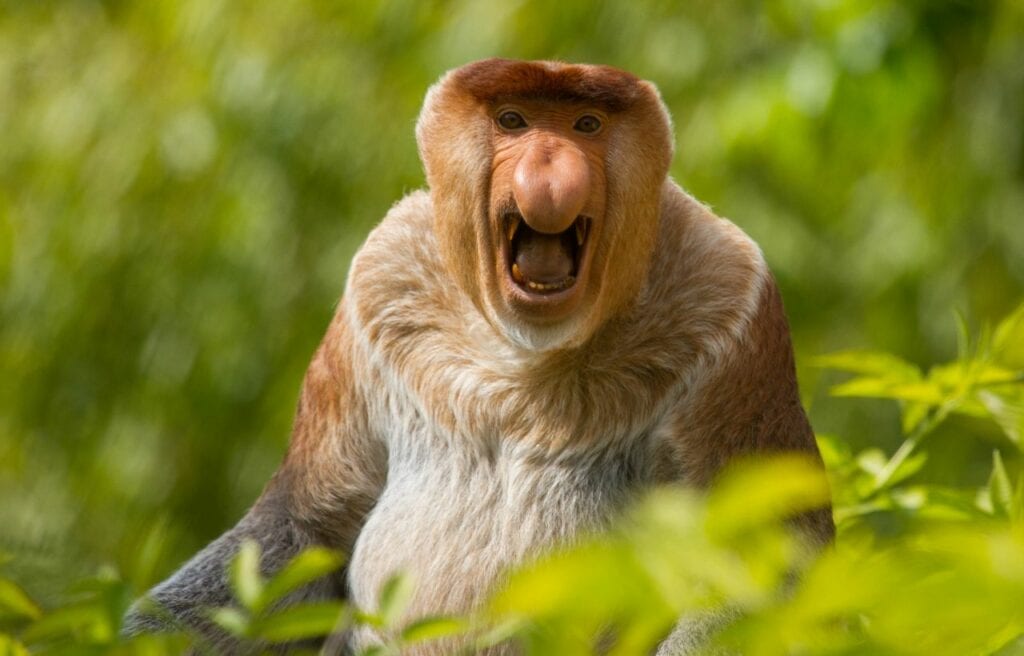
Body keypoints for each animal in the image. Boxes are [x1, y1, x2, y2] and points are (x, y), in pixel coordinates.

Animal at [124, 58, 834, 654]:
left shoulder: (735, 308)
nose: (549, 164)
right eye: (513, 120)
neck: (525, 349)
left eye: (586, 124)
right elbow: (305, 525)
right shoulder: (378, 279)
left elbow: (765, 562)